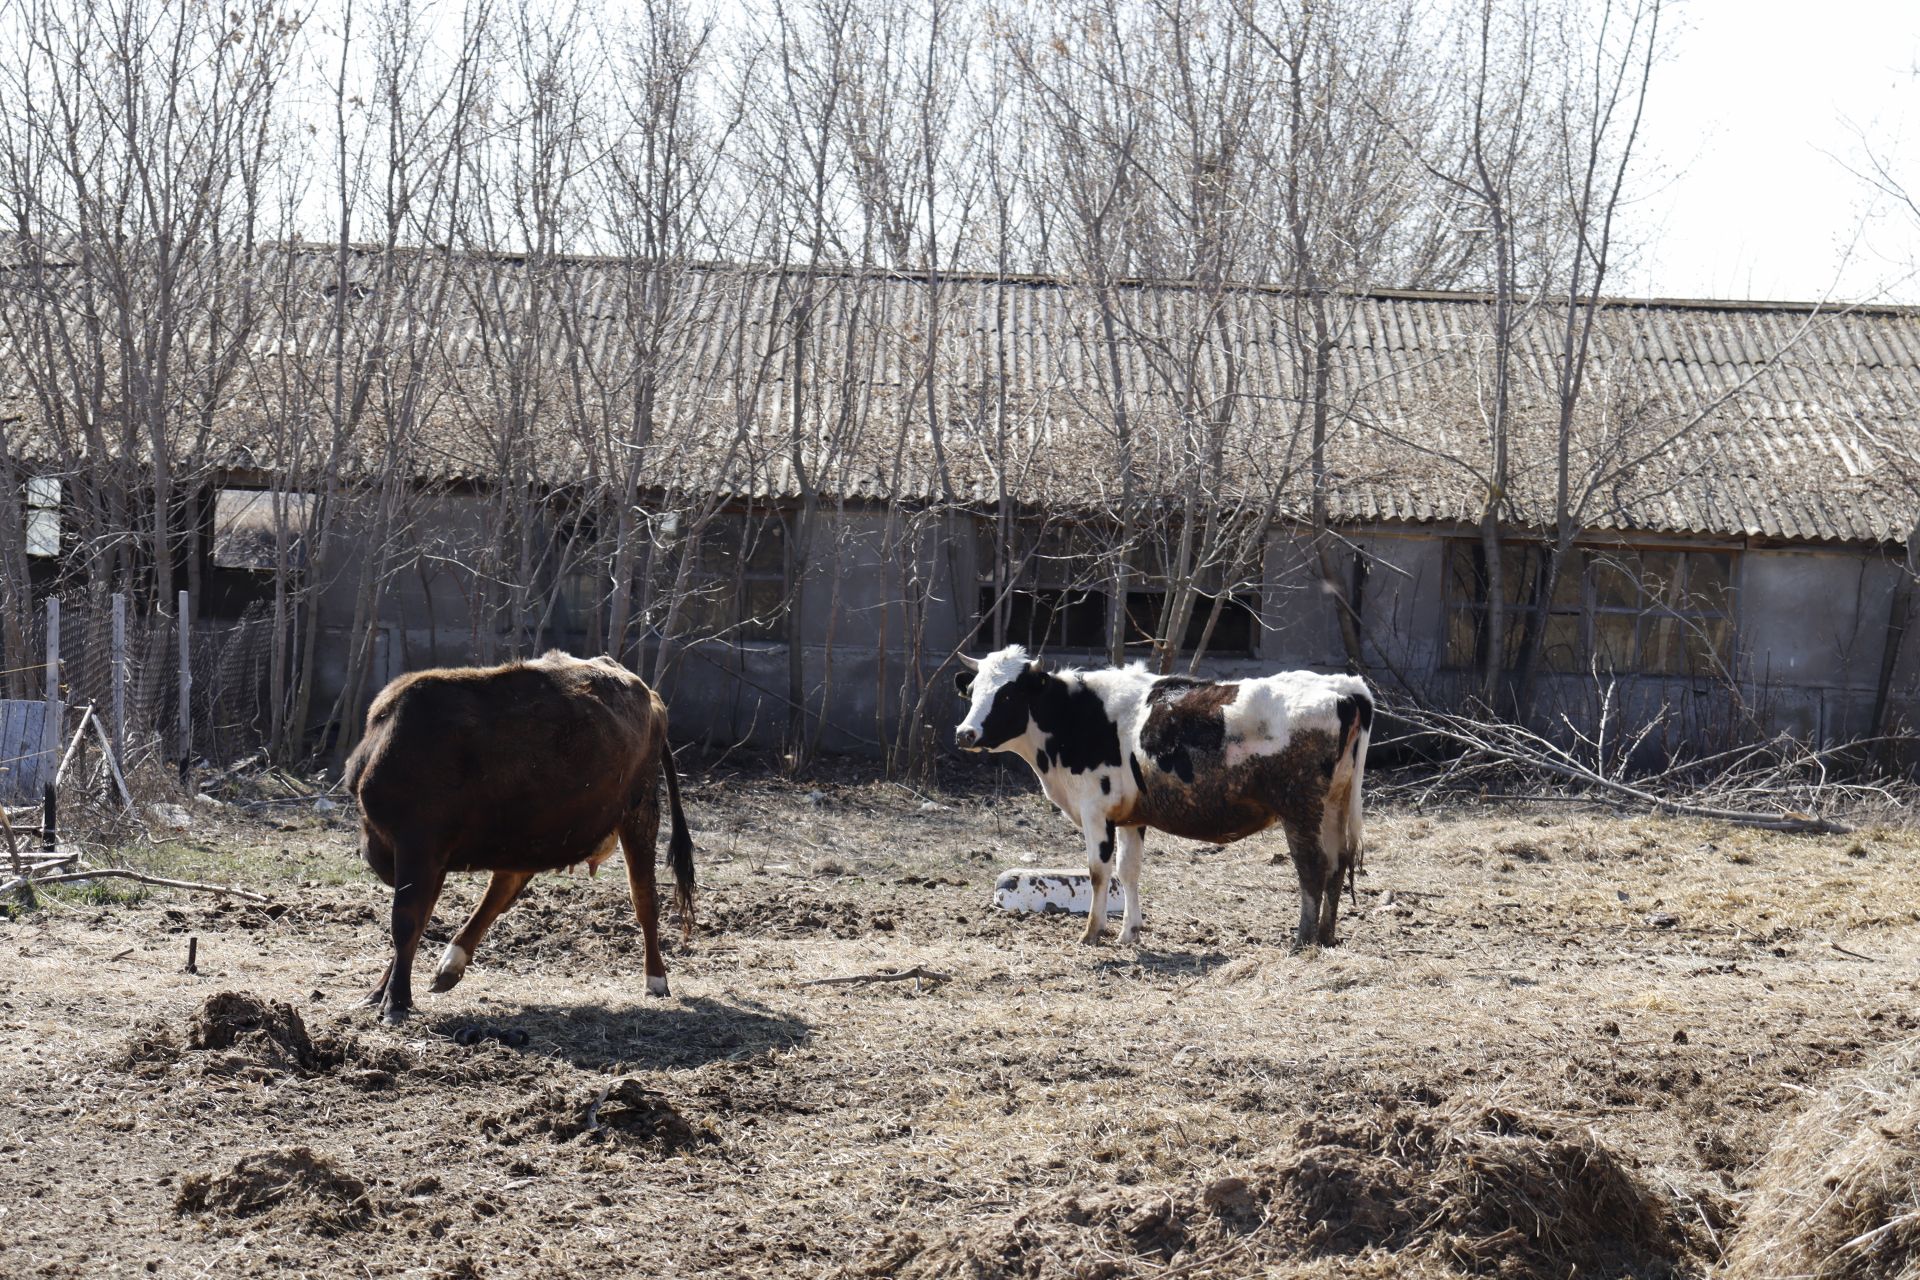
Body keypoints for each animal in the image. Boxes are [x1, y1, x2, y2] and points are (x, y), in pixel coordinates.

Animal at [341, 656, 695, 1028]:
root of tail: (646, 691)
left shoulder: (419, 847)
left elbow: (406, 922)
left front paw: (395, 1002)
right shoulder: (432, 859)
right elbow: (419, 921)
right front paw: (380, 993)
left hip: (640, 813)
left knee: (644, 899)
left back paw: (656, 979)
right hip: (532, 832)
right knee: (506, 884)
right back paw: (450, 964)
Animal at [952, 652, 1374, 951]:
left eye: (1007, 694)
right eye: (972, 692)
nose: (964, 733)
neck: (1079, 715)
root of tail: (1343, 686)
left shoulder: (1095, 809)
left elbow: (1098, 872)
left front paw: (1092, 933)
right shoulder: (1131, 817)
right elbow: (1128, 871)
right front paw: (1129, 933)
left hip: (1299, 808)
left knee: (1312, 867)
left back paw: (1302, 939)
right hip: (1333, 803)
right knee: (1337, 864)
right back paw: (1326, 935)